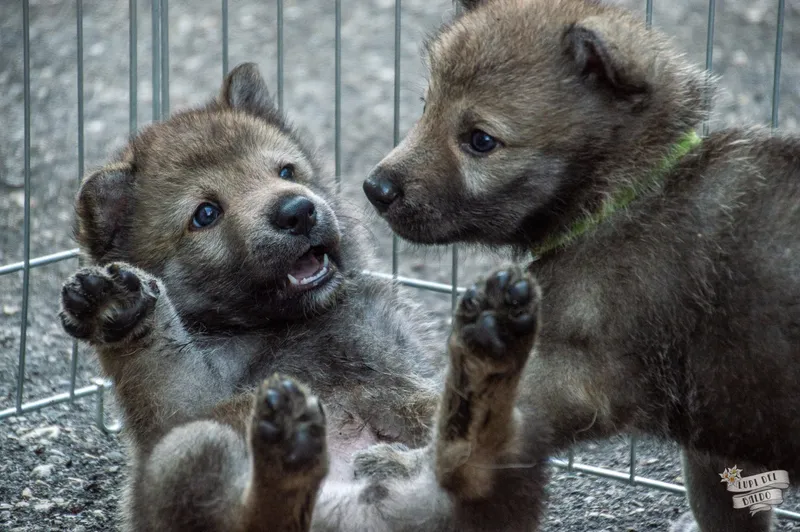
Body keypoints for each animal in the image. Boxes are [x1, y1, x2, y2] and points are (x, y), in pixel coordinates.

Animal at [59, 62, 545, 531]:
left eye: (285, 171)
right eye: (205, 214)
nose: (297, 211)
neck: (284, 325)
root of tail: (361, 514)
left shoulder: (401, 370)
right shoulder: (180, 408)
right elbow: (155, 361)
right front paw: (117, 306)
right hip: (191, 449)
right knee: (258, 517)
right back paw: (290, 449)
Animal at [363, 1, 800, 530]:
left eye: (480, 141)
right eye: (426, 104)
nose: (375, 188)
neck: (627, 193)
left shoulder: (569, 378)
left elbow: (463, 433)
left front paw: (403, 465)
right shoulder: (713, 442)